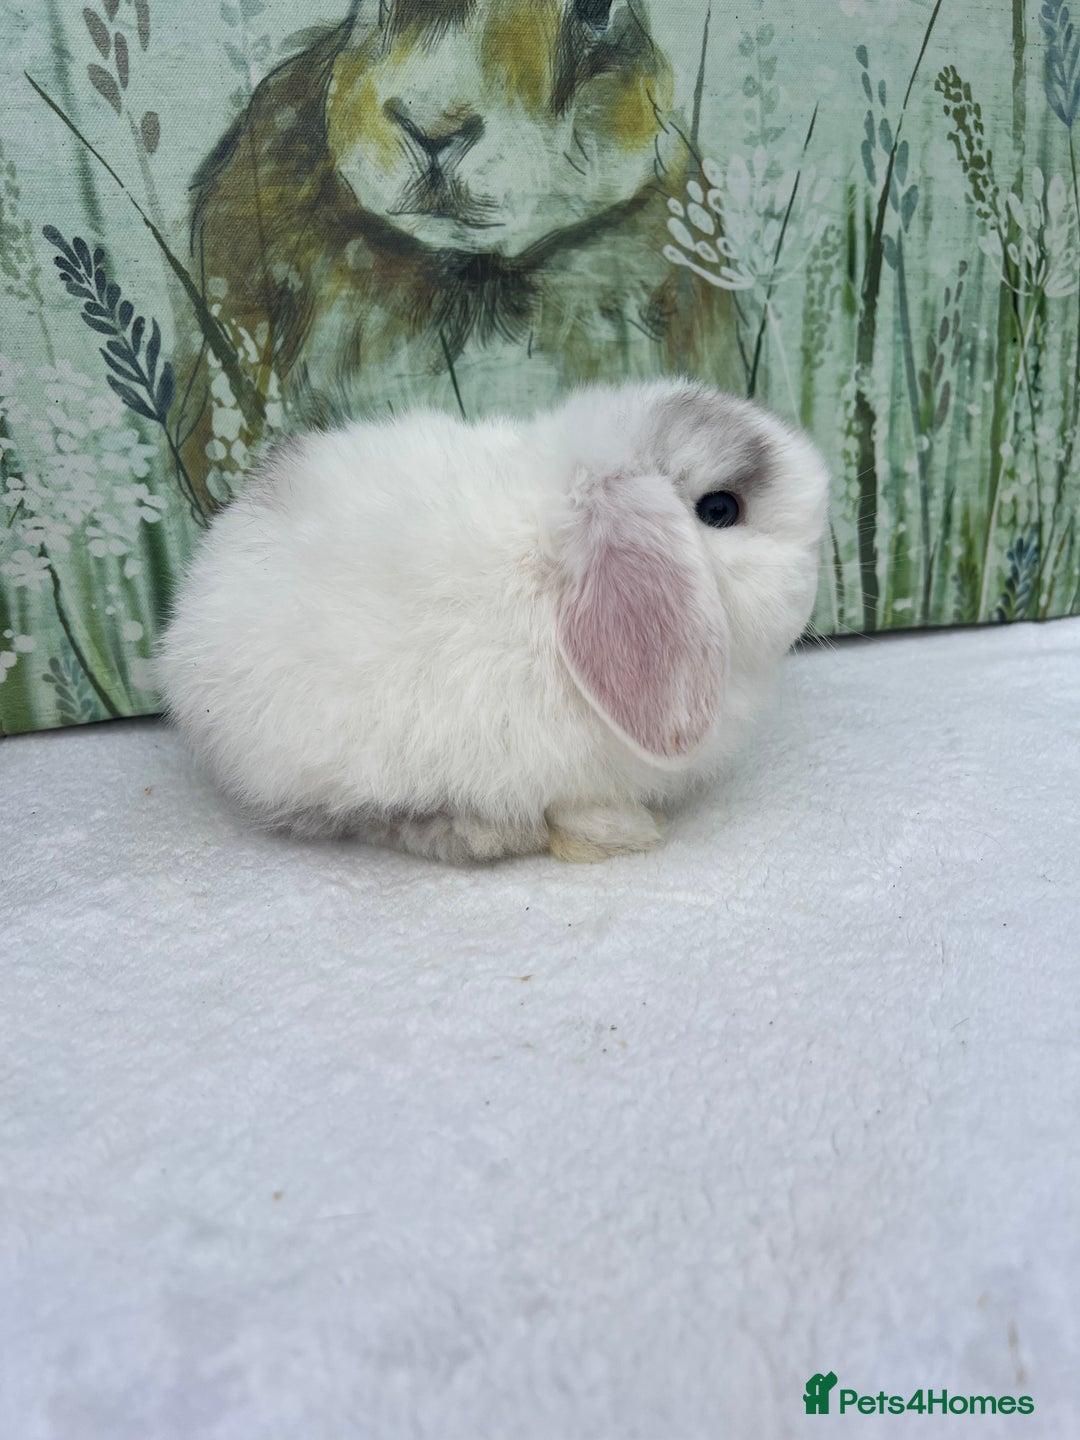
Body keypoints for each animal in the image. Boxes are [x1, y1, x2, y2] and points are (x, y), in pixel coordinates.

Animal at [157, 380, 829, 864]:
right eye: (720, 510)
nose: (814, 582)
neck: (550, 570)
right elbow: (577, 807)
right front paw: (622, 831)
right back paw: (484, 834)